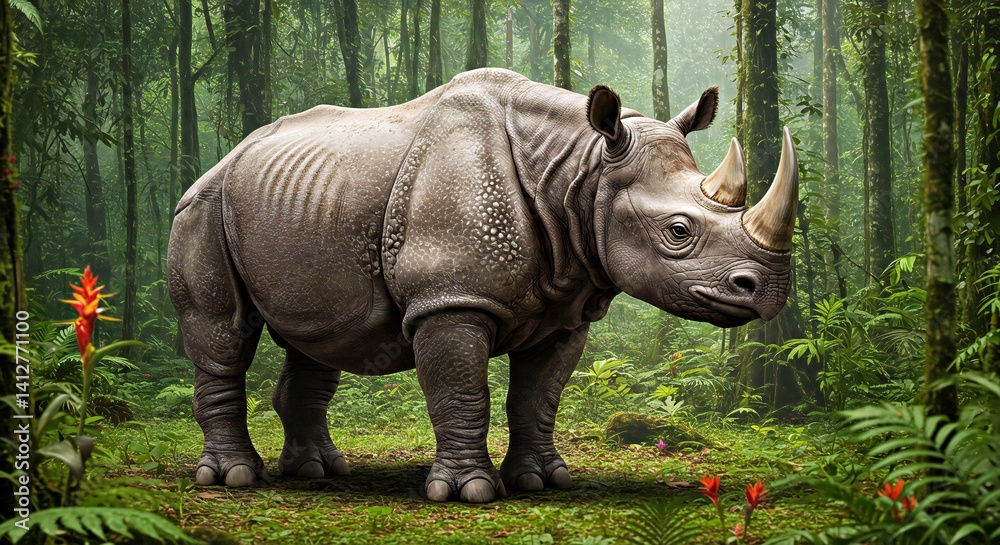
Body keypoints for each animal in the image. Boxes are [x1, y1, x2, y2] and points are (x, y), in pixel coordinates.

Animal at [168, 68, 797, 503]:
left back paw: (318, 470)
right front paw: (468, 492)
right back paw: (235, 477)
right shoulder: (450, 299)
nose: (768, 291)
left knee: (317, 336)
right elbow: (461, 389)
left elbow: (538, 397)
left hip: (302, 202)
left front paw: (544, 481)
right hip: (202, 206)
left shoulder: (567, 304)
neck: (577, 170)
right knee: (222, 332)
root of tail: (225, 159)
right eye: (678, 231)